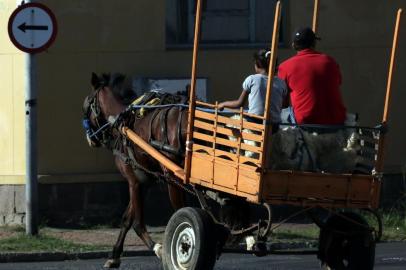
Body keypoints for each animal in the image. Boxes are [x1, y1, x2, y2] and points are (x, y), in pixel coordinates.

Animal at [83, 72, 190, 268]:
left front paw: (158, 248)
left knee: (182, 211)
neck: (122, 123)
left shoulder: (133, 181)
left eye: (86, 105)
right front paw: (114, 255)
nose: (91, 139)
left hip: (174, 181)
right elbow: (127, 219)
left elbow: (138, 223)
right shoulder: (143, 181)